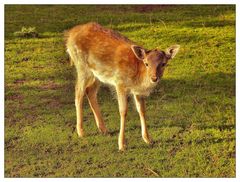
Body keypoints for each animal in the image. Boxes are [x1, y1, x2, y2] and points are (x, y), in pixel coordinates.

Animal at [64, 22, 179, 151]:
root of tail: (70, 34)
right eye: (146, 63)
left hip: (97, 74)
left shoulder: (137, 92)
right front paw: (122, 145)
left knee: (90, 91)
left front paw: (148, 139)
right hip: (82, 67)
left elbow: (142, 110)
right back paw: (81, 132)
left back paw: (103, 129)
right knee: (78, 92)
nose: (154, 78)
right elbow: (123, 111)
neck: (138, 77)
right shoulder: (120, 83)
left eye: (163, 64)